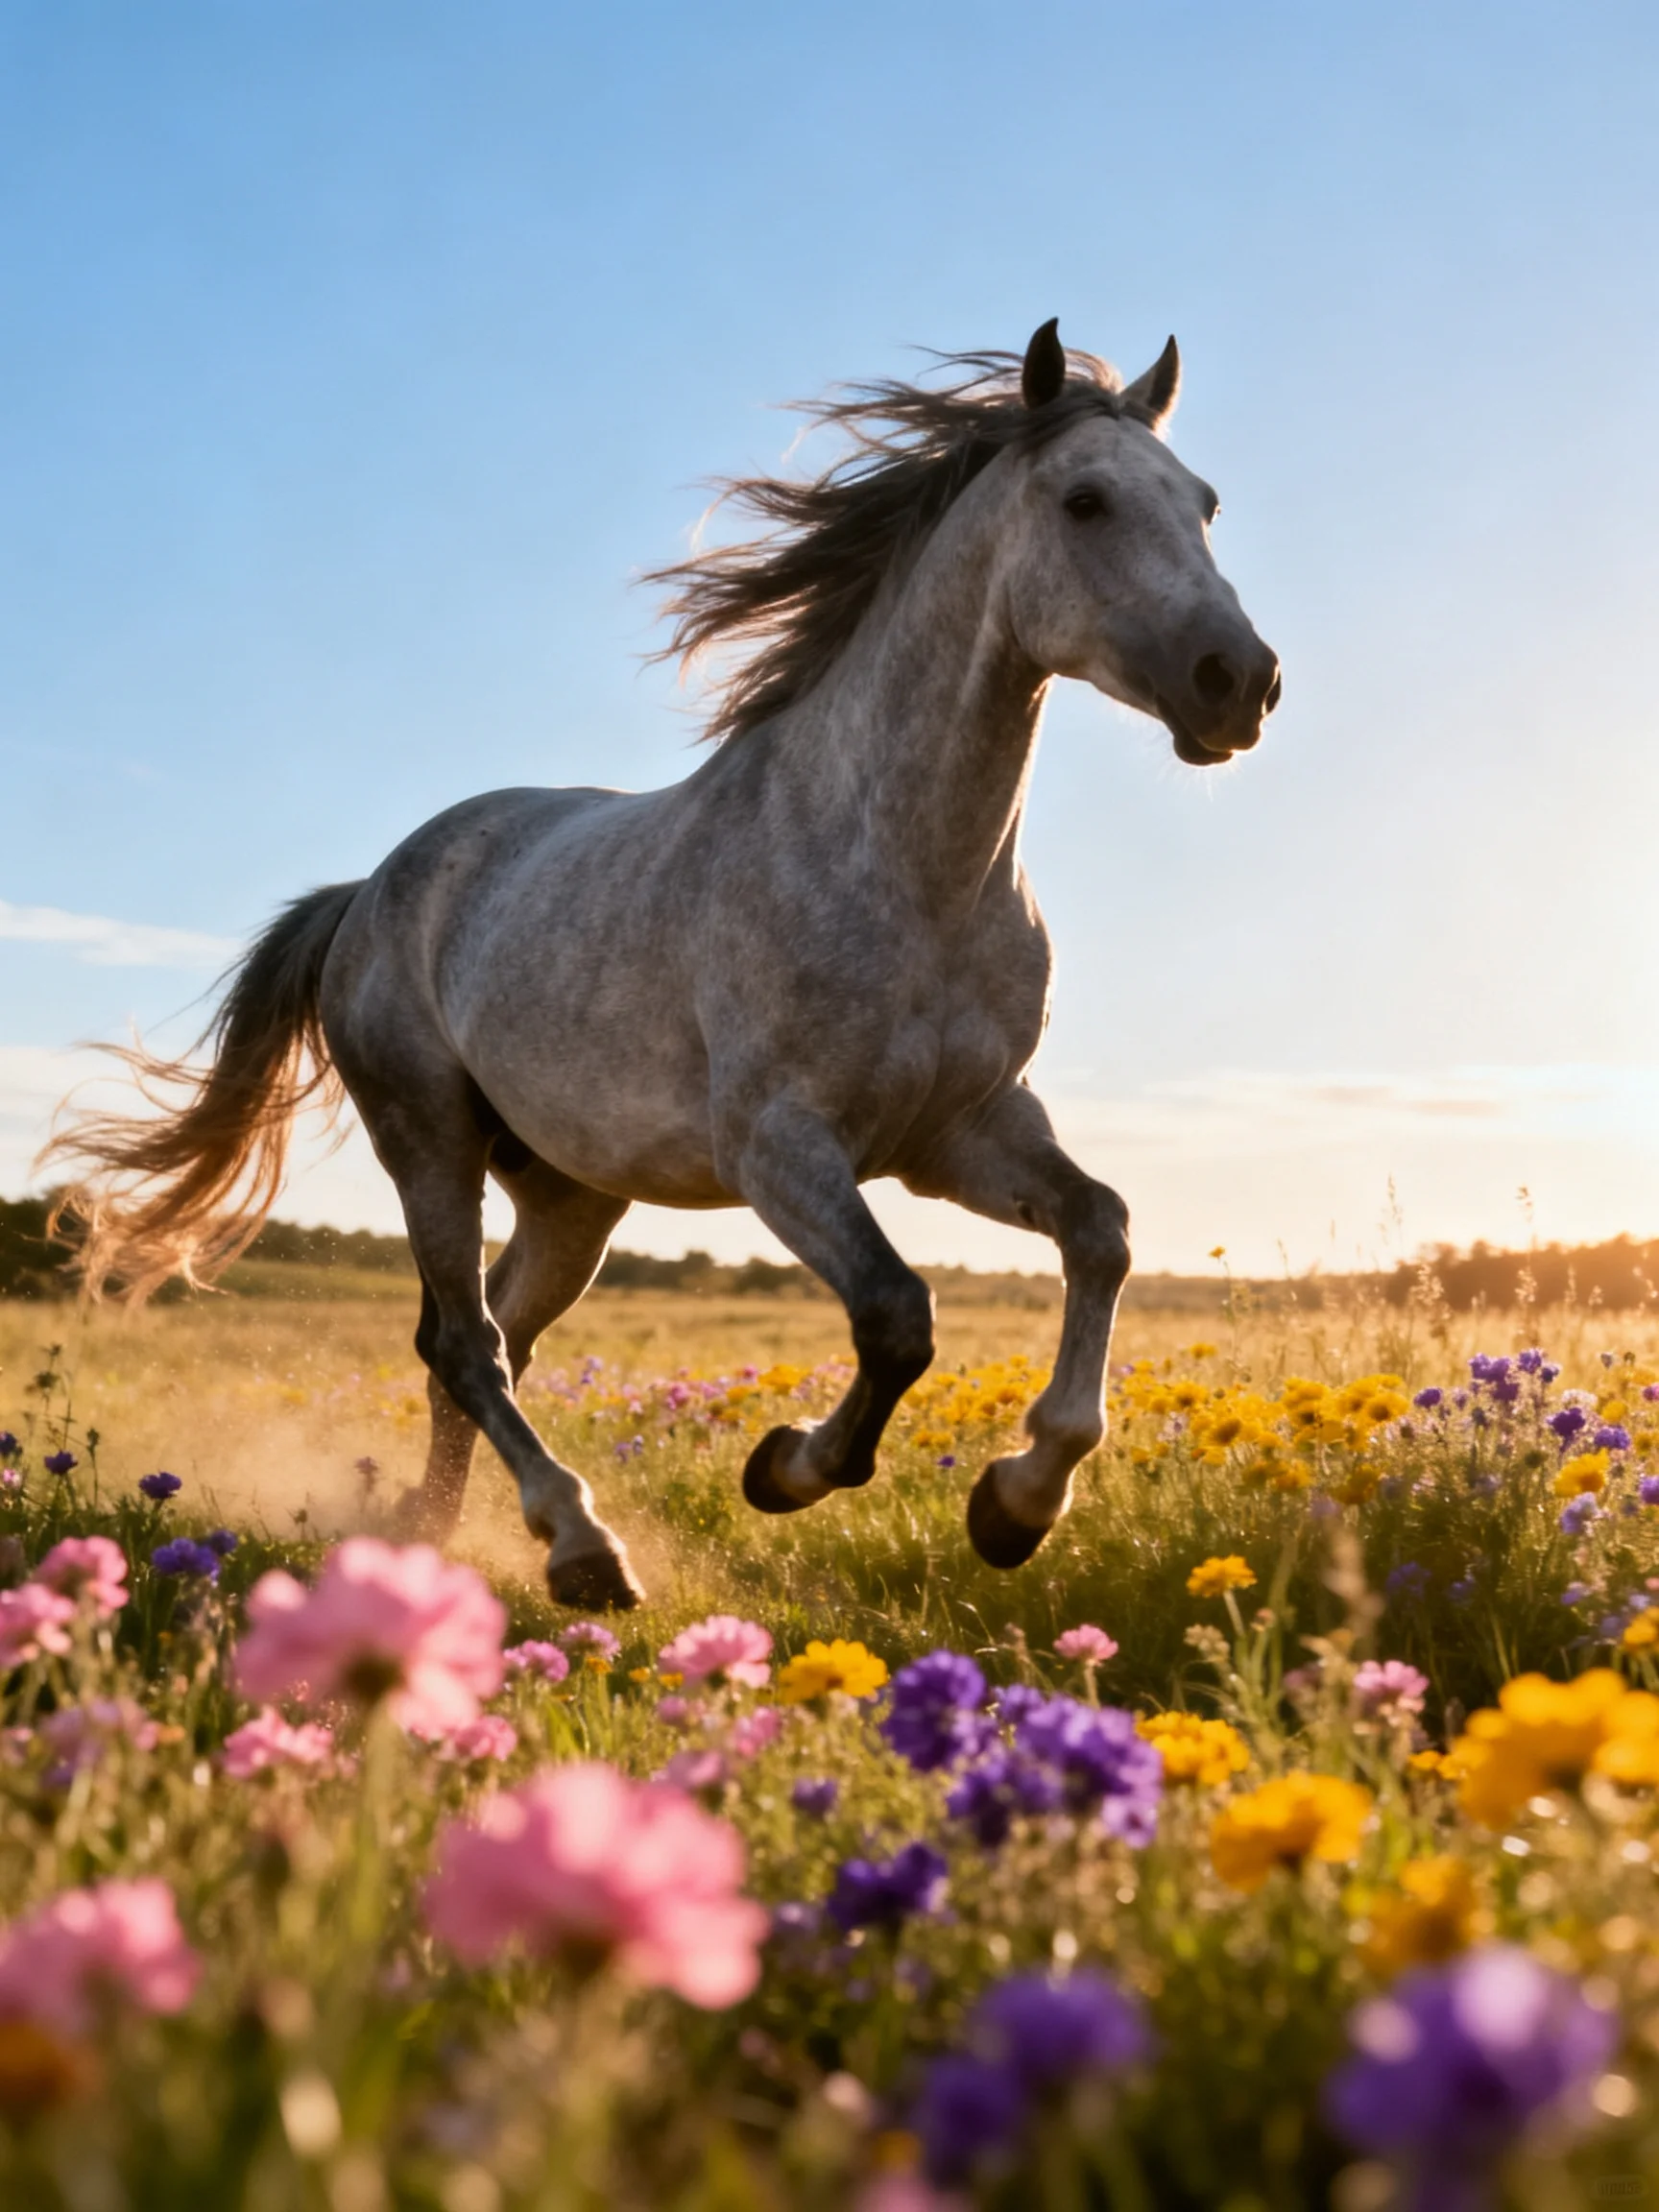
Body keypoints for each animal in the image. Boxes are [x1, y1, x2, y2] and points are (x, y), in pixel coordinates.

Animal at [45, 319, 1279, 1612]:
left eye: (1204, 503)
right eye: (1086, 501)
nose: (1239, 683)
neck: (900, 865)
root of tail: (369, 892)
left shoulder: (961, 1132)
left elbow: (1101, 1230)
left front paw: (1018, 1503)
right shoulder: (780, 1145)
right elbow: (898, 1313)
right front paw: (789, 1469)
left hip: (571, 1191)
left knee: (489, 1339)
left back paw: (436, 1539)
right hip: (427, 1136)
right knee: (465, 1342)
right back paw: (583, 1550)